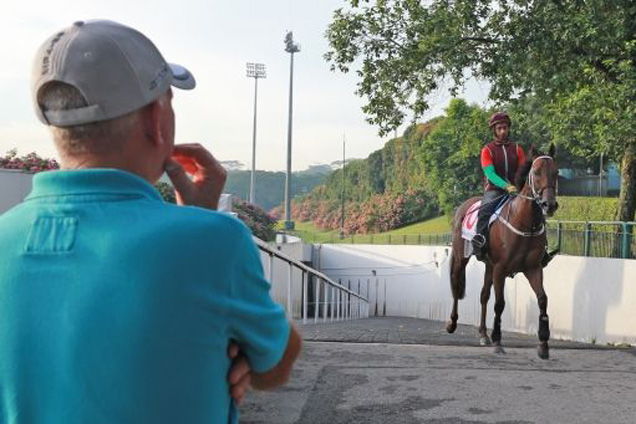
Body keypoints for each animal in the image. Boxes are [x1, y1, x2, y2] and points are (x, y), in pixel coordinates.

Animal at [448, 145, 556, 358]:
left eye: (556, 172)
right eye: (536, 172)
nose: (550, 205)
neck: (524, 223)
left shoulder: (533, 268)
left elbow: (542, 299)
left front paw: (543, 343)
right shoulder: (500, 268)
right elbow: (500, 304)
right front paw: (498, 340)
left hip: (489, 266)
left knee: (483, 295)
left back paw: (483, 334)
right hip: (461, 257)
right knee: (456, 285)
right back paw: (452, 323)